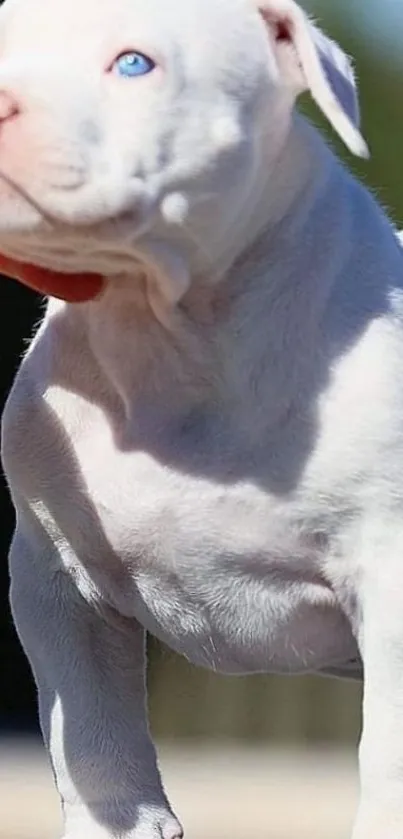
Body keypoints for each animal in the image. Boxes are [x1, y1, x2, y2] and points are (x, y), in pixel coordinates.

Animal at [0, 0, 403, 832]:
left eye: (132, 64)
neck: (165, 330)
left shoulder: (389, 571)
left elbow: (388, 746)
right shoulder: (52, 573)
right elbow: (91, 730)